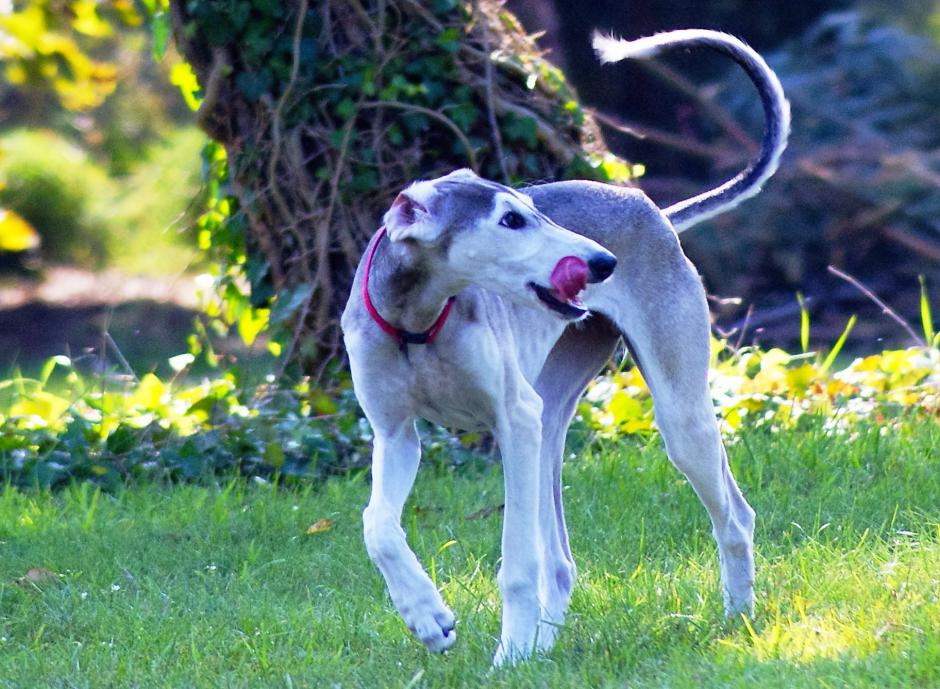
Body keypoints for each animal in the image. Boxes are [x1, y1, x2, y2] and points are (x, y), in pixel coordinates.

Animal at [342, 28, 788, 668]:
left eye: (531, 209)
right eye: (509, 219)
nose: (603, 262)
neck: (417, 324)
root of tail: (655, 211)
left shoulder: (511, 418)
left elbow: (515, 562)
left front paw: (503, 656)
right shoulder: (395, 434)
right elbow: (376, 524)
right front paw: (428, 618)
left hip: (671, 417)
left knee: (734, 515)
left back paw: (737, 615)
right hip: (548, 422)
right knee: (560, 561)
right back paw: (539, 646)